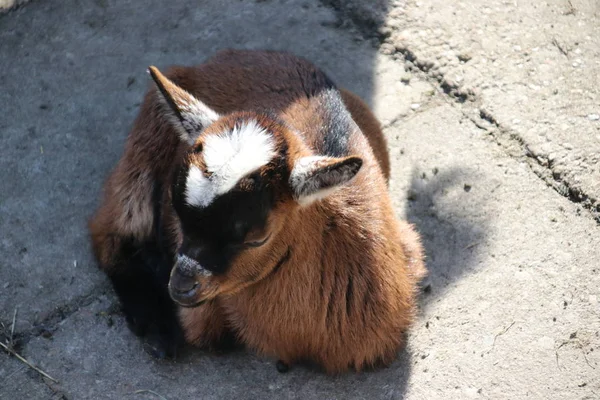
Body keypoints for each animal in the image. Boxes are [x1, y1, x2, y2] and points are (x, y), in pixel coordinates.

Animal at [90, 49, 426, 372]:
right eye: (177, 214)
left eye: (257, 239)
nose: (181, 286)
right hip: (142, 152)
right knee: (110, 232)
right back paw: (156, 328)